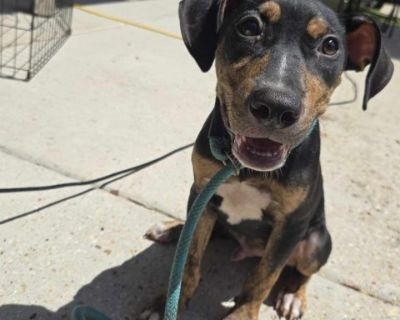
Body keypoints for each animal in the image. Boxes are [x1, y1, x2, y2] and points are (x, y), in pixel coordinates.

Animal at [139, 0, 392, 320]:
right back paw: (171, 229)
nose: (275, 107)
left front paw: (243, 313)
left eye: (330, 45)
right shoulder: (203, 191)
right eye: (249, 27)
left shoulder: (290, 226)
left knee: (303, 271)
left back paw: (294, 296)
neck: (245, 169)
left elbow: (264, 277)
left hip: (317, 242)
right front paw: (169, 302)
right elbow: (191, 256)